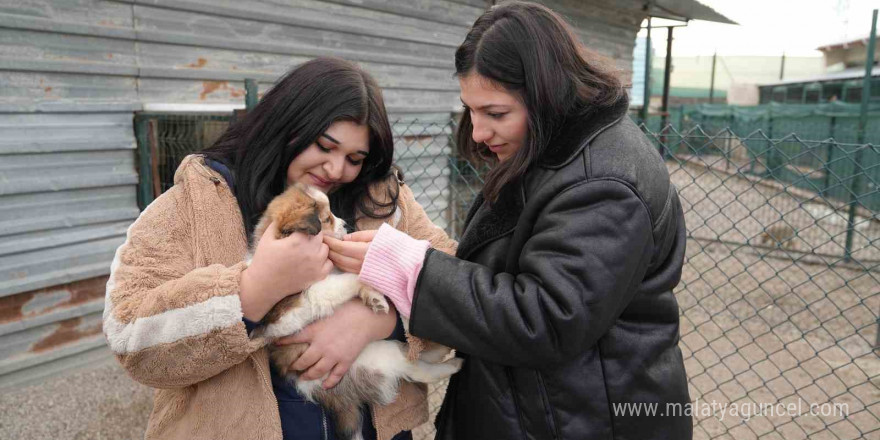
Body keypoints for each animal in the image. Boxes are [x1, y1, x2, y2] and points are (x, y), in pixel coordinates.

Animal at [248, 184, 460, 440]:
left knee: (416, 356)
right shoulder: (294, 307)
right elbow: (345, 281)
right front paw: (370, 285)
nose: (345, 225)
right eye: (327, 219)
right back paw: (452, 364)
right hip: (377, 356)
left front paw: (376, 292)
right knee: (414, 367)